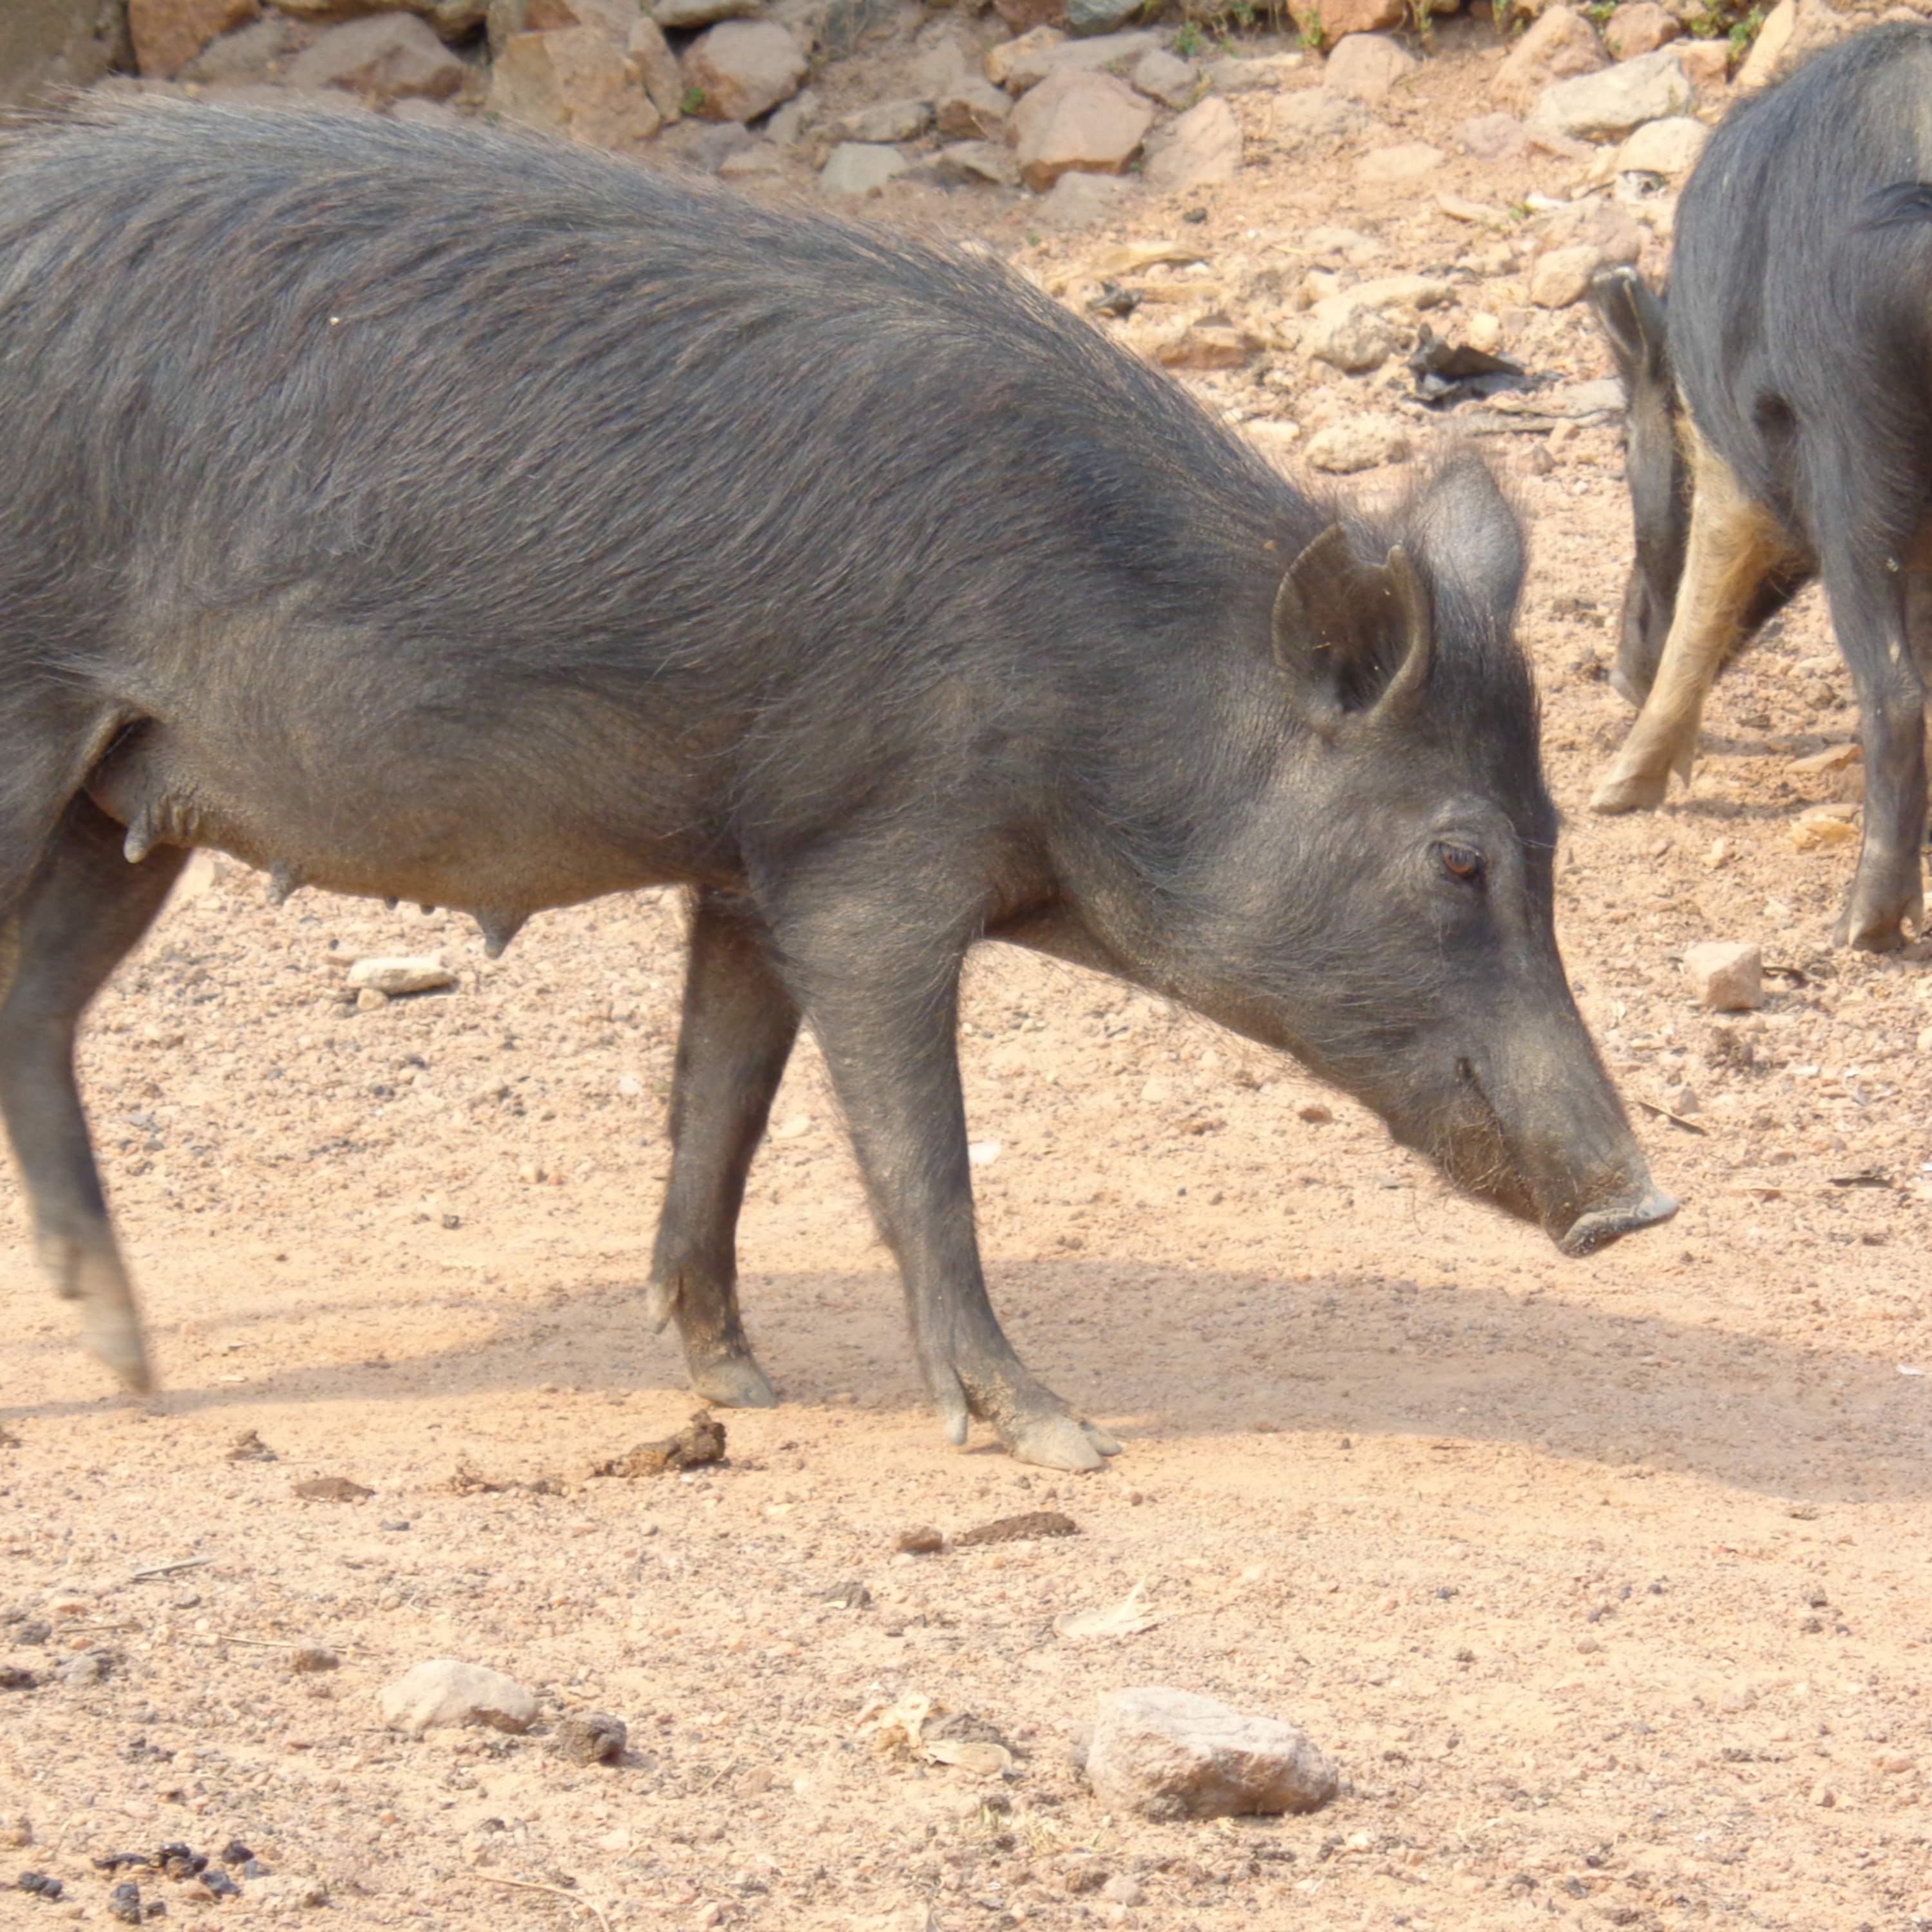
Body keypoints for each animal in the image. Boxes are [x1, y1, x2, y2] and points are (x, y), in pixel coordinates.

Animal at [0, 100, 1673, 1469]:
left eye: (1554, 835)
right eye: (1457, 857)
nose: (1642, 1204)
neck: (1103, 668)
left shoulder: (749, 868)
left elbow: (720, 1113)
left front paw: (739, 1385)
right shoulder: (870, 866)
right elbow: (920, 1156)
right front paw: (1056, 1440)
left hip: (121, 797)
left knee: (34, 1014)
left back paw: (134, 1368)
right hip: (28, 733)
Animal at [1587, 23, 1932, 952]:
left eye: (1626, 445)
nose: (1616, 673)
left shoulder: (1731, 454)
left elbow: (1708, 592)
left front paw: (1610, 796)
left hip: (1857, 450)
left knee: (1896, 693)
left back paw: (1860, 931)